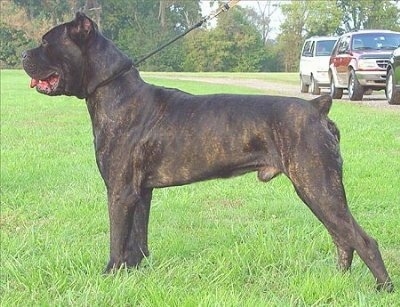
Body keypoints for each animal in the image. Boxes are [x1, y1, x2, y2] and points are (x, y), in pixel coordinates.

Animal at [21, 12, 390, 294]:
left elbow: (118, 241)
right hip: (316, 190)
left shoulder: (120, 193)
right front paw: (135, 273)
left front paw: (110, 276)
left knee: (362, 239)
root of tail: (318, 107)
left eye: (46, 43)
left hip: (319, 187)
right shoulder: (140, 193)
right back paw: (338, 279)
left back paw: (383, 289)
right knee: (342, 237)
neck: (114, 90)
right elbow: (137, 239)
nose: (24, 55)